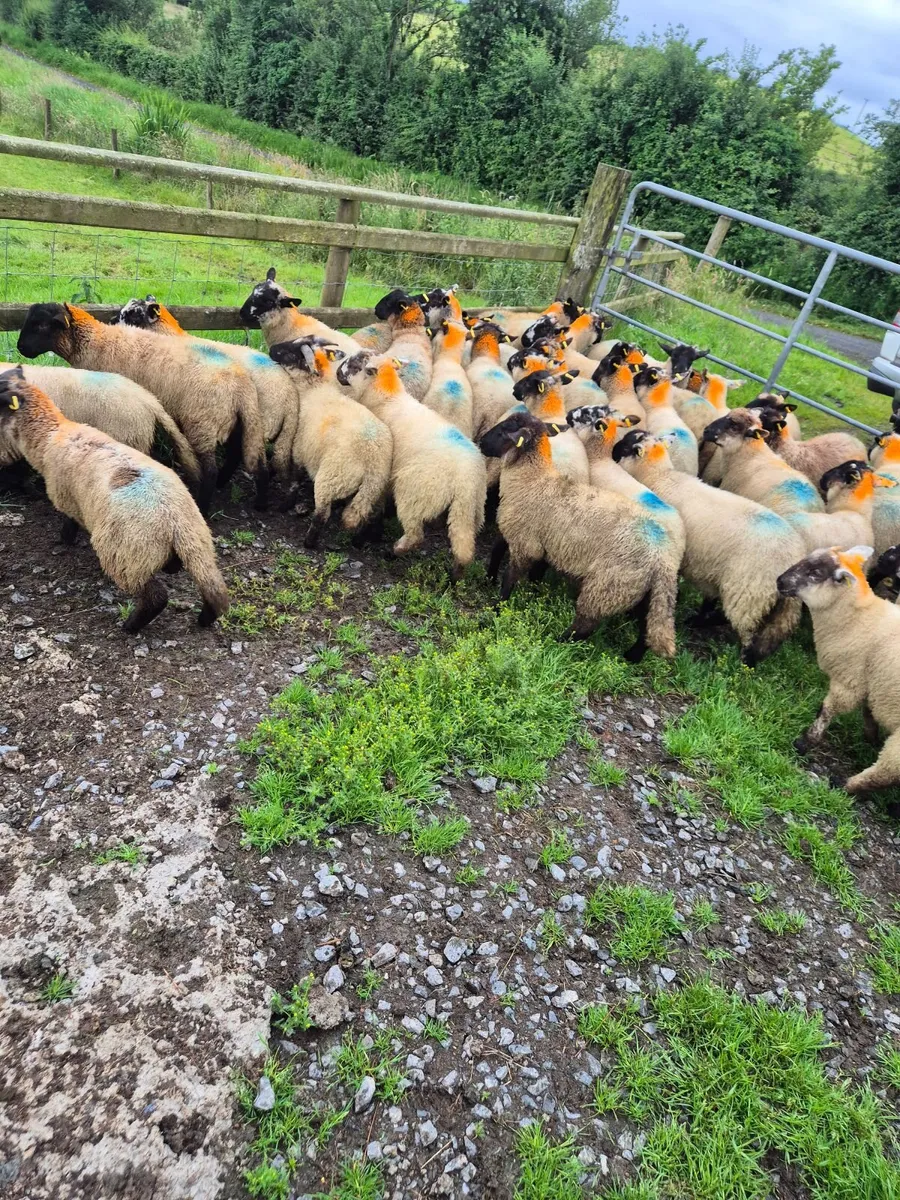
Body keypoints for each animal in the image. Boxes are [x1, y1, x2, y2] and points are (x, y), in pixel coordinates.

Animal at [267, 338, 392, 546]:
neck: (313, 388)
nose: (271, 349)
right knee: (373, 515)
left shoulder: (300, 448)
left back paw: (309, 542)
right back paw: (361, 541)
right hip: (377, 491)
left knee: (322, 515)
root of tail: (373, 463)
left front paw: (285, 504)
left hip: (331, 478)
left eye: (291, 353)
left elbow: (295, 479)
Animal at [336, 351, 486, 579]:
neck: (387, 398)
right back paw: (456, 575)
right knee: (464, 545)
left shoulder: (384, 468)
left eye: (354, 365)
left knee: (416, 534)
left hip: (415, 492)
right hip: (471, 508)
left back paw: (396, 550)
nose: (337, 372)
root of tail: (464, 479)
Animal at [479, 410, 679, 659]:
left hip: (608, 586)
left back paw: (556, 643)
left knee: (586, 625)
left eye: (503, 430)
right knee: (645, 629)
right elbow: (504, 556)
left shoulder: (526, 544)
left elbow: (509, 579)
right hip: (644, 593)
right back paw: (631, 658)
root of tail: (663, 559)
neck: (533, 479)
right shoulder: (521, 533)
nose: (480, 443)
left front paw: (497, 607)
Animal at [613, 428, 804, 664]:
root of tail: (792, 560)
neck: (660, 476)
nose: (612, 451)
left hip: (747, 593)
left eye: (624, 444)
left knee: (744, 629)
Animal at [777, 545, 900, 795]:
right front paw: (871, 739)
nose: (779, 581)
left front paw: (805, 742)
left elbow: (826, 711)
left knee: (885, 773)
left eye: (815, 573)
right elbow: (868, 713)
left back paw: (843, 784)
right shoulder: (869, 681)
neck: (858, 618)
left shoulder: (849, 679)